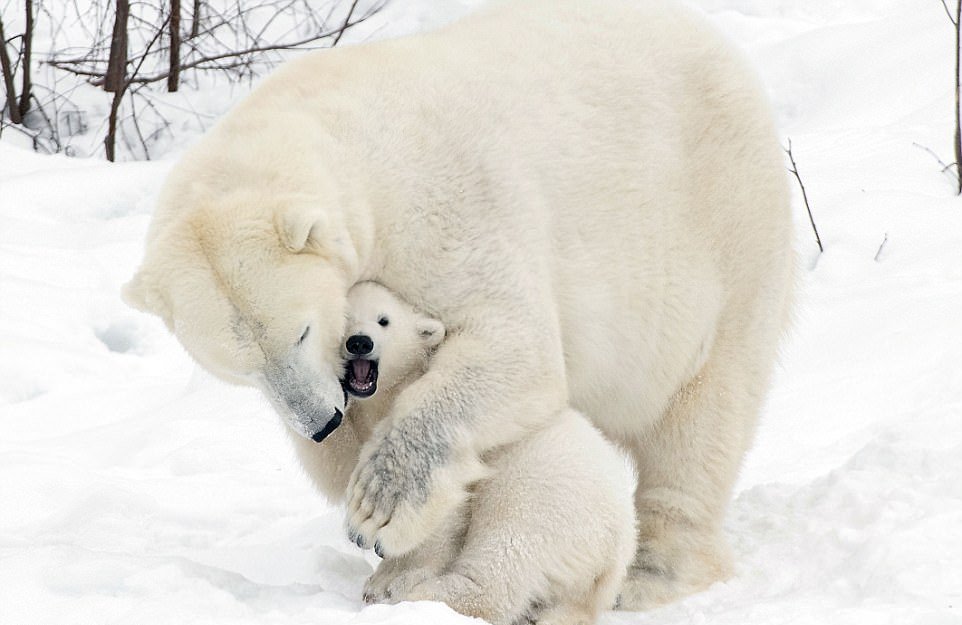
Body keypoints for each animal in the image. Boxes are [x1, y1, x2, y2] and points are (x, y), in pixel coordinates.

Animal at [124, 0, 792, 608]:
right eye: (239, 368)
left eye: (300, 332)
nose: (320, 423)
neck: (351, 141)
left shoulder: (448, 208)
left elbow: (514, 347)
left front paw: (379, 507)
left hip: (718, 230)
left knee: (703, 411)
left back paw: (655, 573)